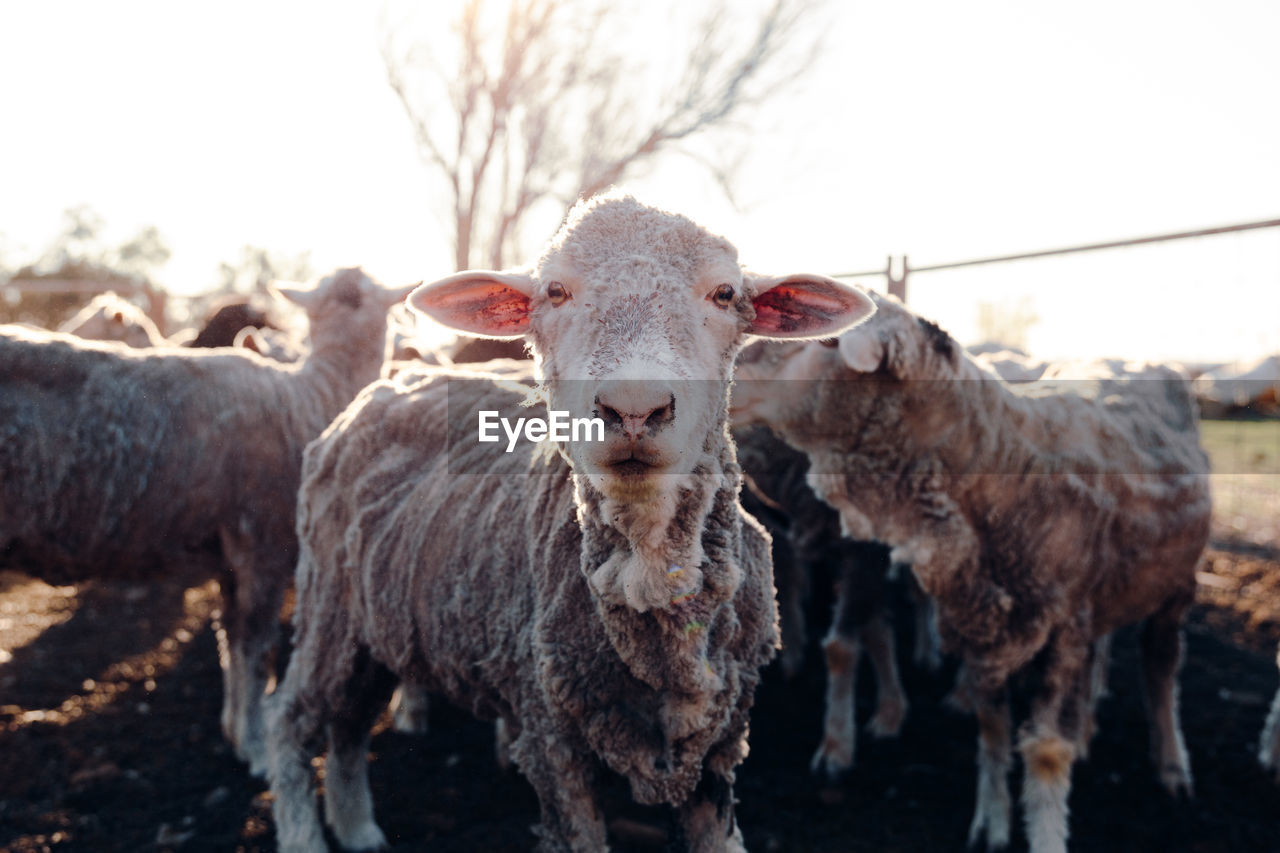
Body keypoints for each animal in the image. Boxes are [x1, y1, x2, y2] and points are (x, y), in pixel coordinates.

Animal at [0, 268, 409, 773]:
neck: (312, 396)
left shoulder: (231, 558)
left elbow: (229, 641)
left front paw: (235, 731)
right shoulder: (263, 546)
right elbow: (255, 648)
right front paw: (256, 748)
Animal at [261, 194, 880, 850]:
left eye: (725, 294)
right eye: (554, 291)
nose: (633, 409)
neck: (647, 568)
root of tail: (388, 385)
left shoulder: (721, 746)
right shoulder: (550, 741)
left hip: (377, 620)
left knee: (350, 723)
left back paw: (357, 828)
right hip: (329, 609)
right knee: (292, 721)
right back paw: (306, 831)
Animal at [732, 286, 1208, 850]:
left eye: (827, 340)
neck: (1008, 463)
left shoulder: (1064, 628)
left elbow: (1047, 751)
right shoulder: (986, 624)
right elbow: (992, 728)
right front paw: (993, 821)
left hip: (1175, 587)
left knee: (1162, 667)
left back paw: (1173, 764)